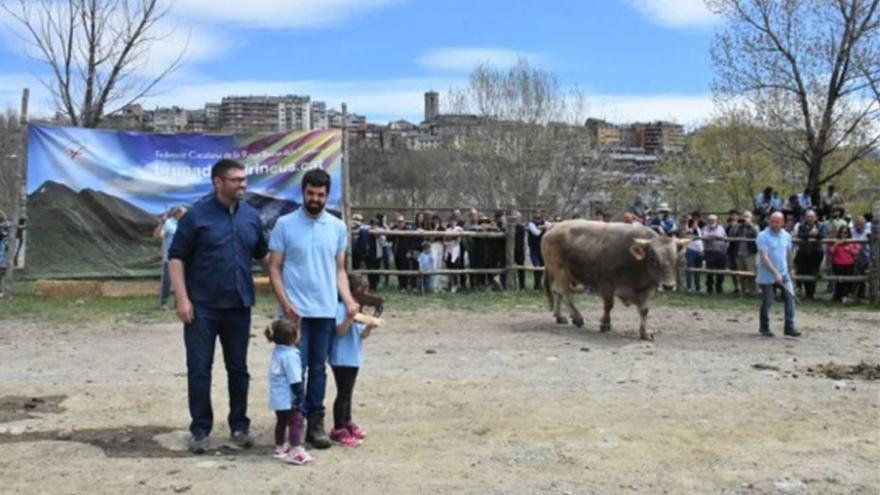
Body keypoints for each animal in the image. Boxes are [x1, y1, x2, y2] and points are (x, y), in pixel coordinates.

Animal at [540, 221, 692, 340]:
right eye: (653, 259)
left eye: (675, 260)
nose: (668, 286)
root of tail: (555, 225)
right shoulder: (607, 283)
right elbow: (609, 305)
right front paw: (605, 324)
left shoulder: (647, 289)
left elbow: (644, 310)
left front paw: (644, 332)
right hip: (560, 271)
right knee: (563, 291)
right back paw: (577, 318)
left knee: (557, 292)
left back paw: (559, 316)